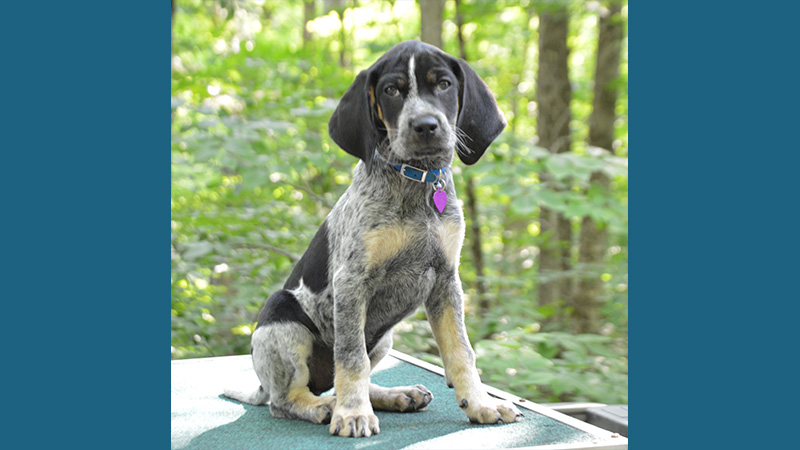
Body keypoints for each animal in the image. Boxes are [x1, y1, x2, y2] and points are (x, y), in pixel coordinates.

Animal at [223, 41, 524, 436]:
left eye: (444, 84)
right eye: (391, 90)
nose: (425, 126)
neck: (416, 180)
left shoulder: (446, 281)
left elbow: (461, 351)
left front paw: (480, 403)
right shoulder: (352, 282)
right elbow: (351, 359)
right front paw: (352, 414)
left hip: (384, 338)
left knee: (346, 380)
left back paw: (395, 395)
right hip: (282, 317)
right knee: (286, 399)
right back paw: (324, 406)